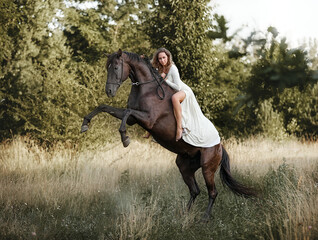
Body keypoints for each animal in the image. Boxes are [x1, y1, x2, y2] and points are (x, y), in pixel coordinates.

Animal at [81, 49, 256, 221]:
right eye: (107, 68)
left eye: (116, 67)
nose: (109, 91)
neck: (148, 90)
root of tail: (219, 146)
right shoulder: (133, 119)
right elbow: (105, 107)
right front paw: (85, 124)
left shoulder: (147, 119)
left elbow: (126, 113)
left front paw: (125, 139)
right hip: (184, 166)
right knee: (195, 190)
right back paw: (183, 216)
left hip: (207, 168)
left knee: (212, 192)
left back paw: (204, 218)